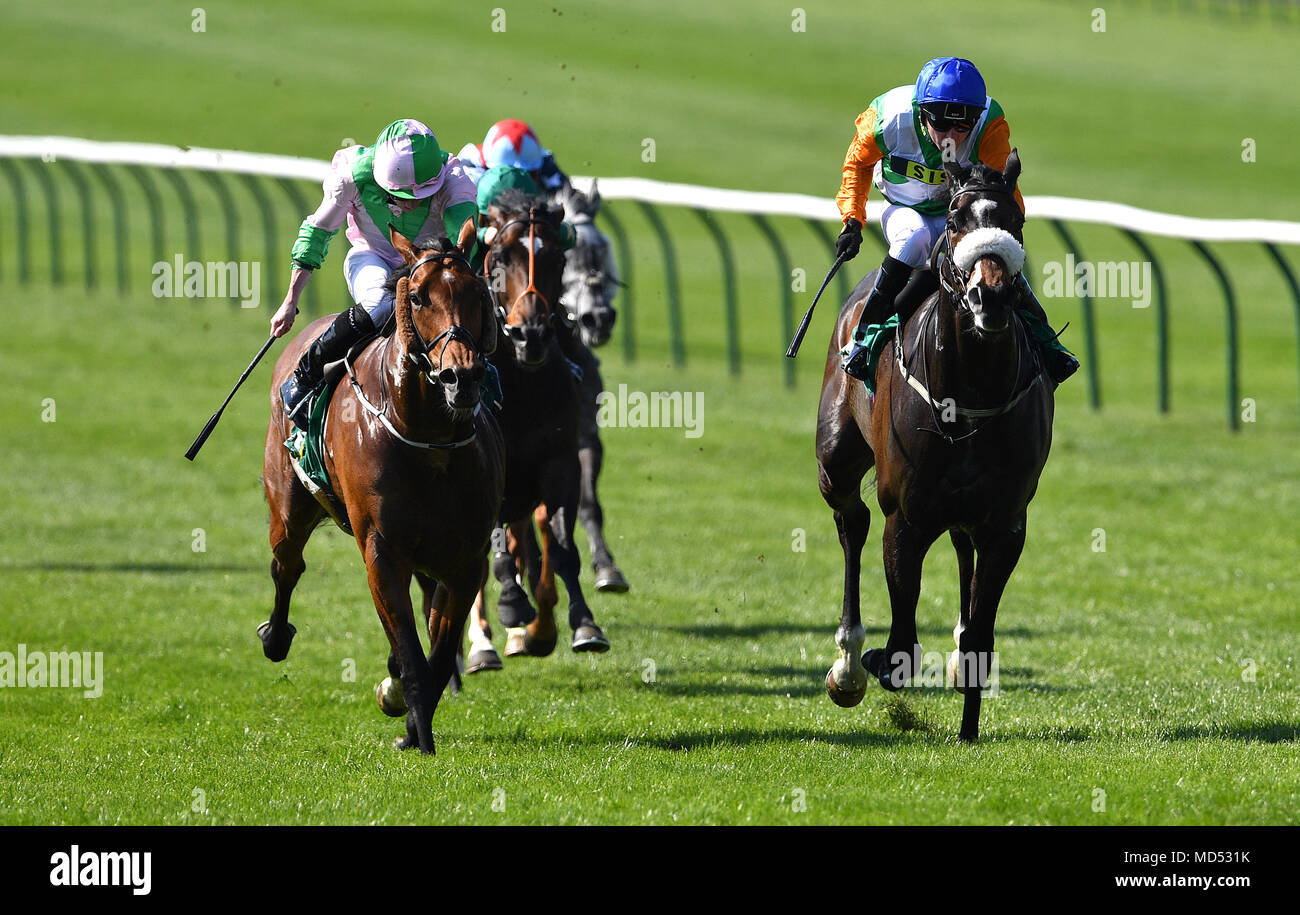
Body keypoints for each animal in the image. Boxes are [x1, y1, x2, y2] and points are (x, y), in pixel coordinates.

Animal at [258, 219, 501, 748]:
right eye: (420, 298)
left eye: (478, 294)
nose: (461, 376)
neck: (428, 439)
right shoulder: (382, 551)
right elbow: (412, 656)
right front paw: (419, 736)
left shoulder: (466, 560)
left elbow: (435, 656)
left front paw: (410, 721)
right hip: (288, 505)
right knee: (287, 565)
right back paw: (275, 636)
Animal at [465, 187, 611, 670]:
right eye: (498, 257)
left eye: (556, 259)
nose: (529, 336)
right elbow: (498, 552)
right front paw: (512, 606)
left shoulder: (561, 459)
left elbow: (562, 545)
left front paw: (577, 626)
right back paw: (483, 643)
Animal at [821, 148, 1055, 738]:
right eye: (954, 221)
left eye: (1015, 222)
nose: (990, 294)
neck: (969, 387)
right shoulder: (906, 515)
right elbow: (902, 634)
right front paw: (877, 662)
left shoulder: (1005, 522)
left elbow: (980, 635)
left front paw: (969, 722)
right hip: (835, 459)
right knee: (851, 521)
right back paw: (848, 665)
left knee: (959, 548)